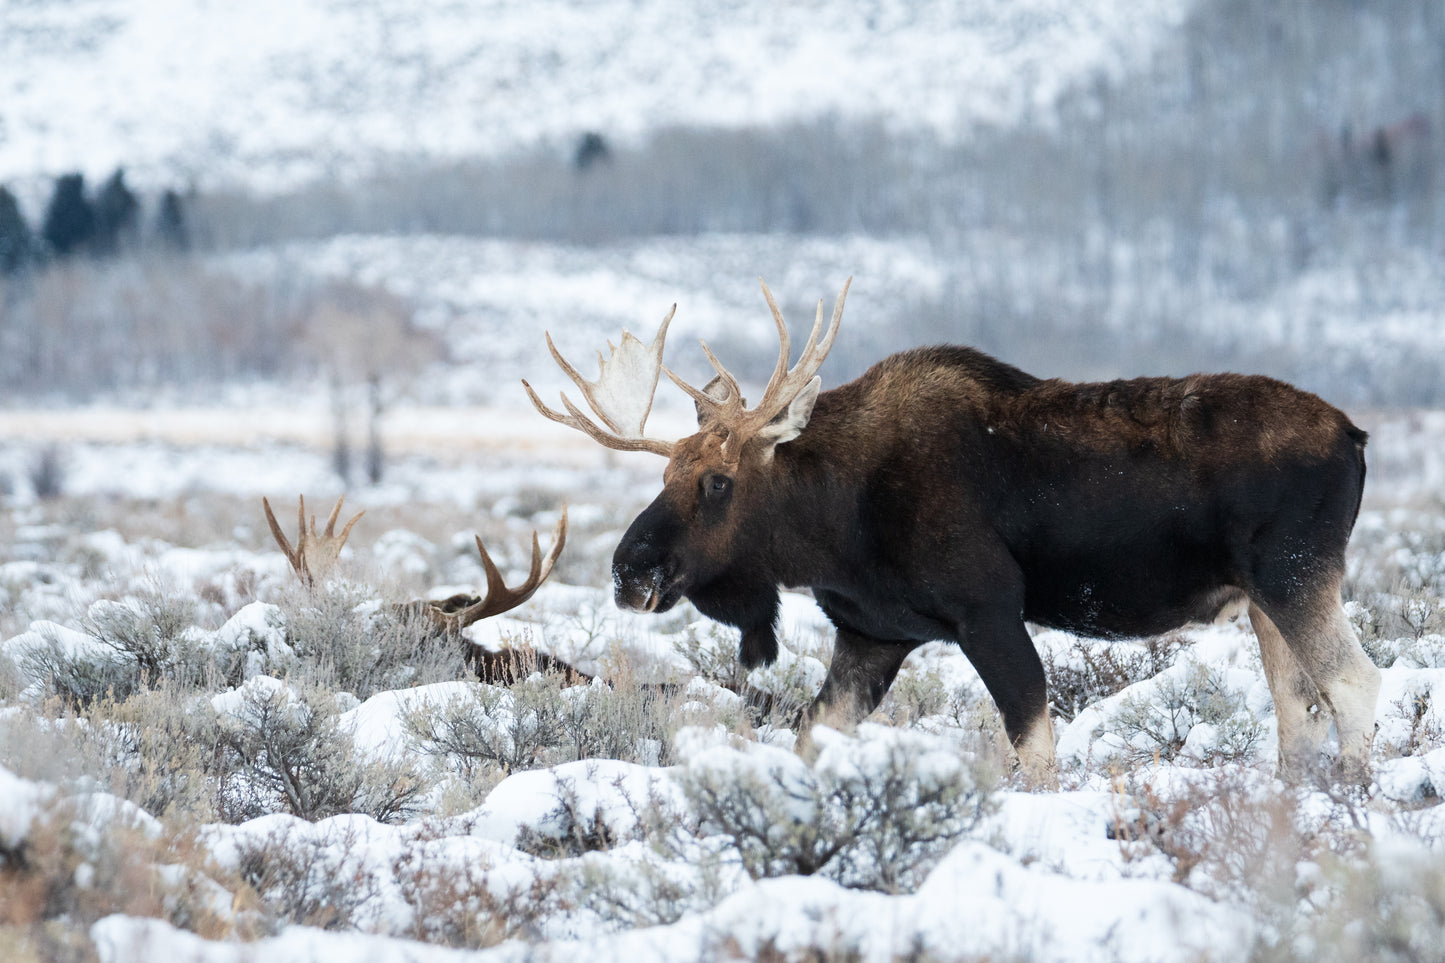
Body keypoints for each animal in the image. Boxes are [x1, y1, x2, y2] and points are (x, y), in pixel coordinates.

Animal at [523, 280, 1380, 785]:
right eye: (665, 475)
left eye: (715, 480)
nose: (630, 570)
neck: (831, 523)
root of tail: (1355, 436)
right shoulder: (872, 634)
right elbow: (808, 733)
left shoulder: (987, 610)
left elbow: (1033, 743)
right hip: (1264, 600)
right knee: (1297, 715)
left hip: (1295, 575)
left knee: (1352, 684)